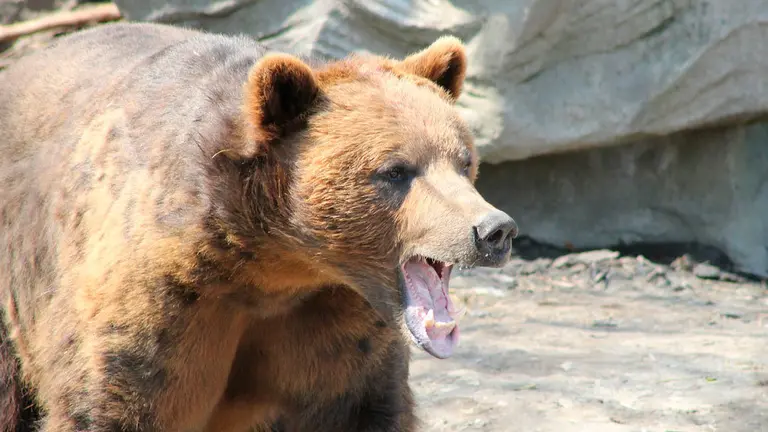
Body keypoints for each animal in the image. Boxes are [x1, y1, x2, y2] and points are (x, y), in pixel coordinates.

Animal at [0, 22, 518, 432]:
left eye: (464, 161)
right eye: (395, 170)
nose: (494, 230)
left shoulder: (334, 329)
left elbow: (362, 407)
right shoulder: (156, 303)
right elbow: (110, 401)